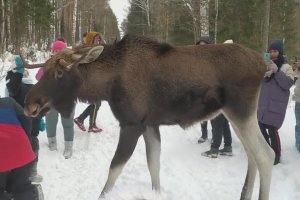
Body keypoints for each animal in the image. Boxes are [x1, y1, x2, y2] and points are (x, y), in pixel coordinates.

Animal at [22, 35, 274, 199]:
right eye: (46, 68)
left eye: (59, 72)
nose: (30, 103)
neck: (107, 85)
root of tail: (264, 65)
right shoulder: (150, 124)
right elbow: (154, 164)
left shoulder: (131, 124)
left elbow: (114, 169)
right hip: (234, 115)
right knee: (252, 156)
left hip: (241, 111)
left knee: (265, 155)